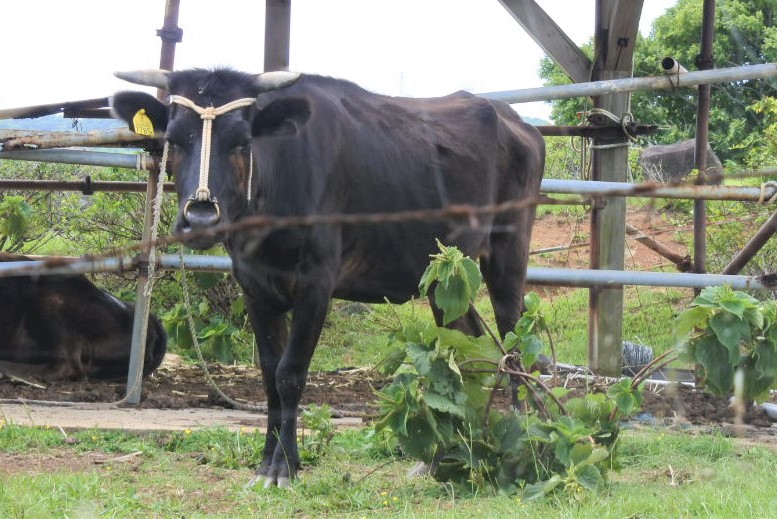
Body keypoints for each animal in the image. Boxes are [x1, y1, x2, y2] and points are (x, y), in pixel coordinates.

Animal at [111, 68, 545, 488]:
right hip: (444, 275)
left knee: (514, 342)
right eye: (174, 139)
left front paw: (284, 467)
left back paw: (525, 439)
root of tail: (515, 121)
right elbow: (269, 375)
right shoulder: (255, 287)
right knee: (465, 346)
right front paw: (267, 462)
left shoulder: (316, 284)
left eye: (242, 141)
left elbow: (290, 374)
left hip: (508, 250)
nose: (201, 217)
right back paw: (445, 456)